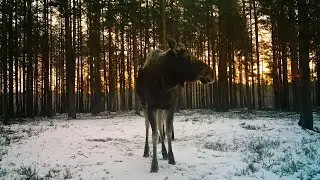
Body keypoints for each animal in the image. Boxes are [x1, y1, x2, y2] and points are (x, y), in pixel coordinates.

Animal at [135, 37, 215, 173]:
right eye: (187, 57)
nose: (212, 73)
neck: (165, 85)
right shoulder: (151, 106)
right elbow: (154, 134)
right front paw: (154, 165)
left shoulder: (170, 106)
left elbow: (167, 131)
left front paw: (171, 157)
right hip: (143, 103)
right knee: (147, 126)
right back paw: (146, 151)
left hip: (161, 108)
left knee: (160, 126)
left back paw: (164, 152)